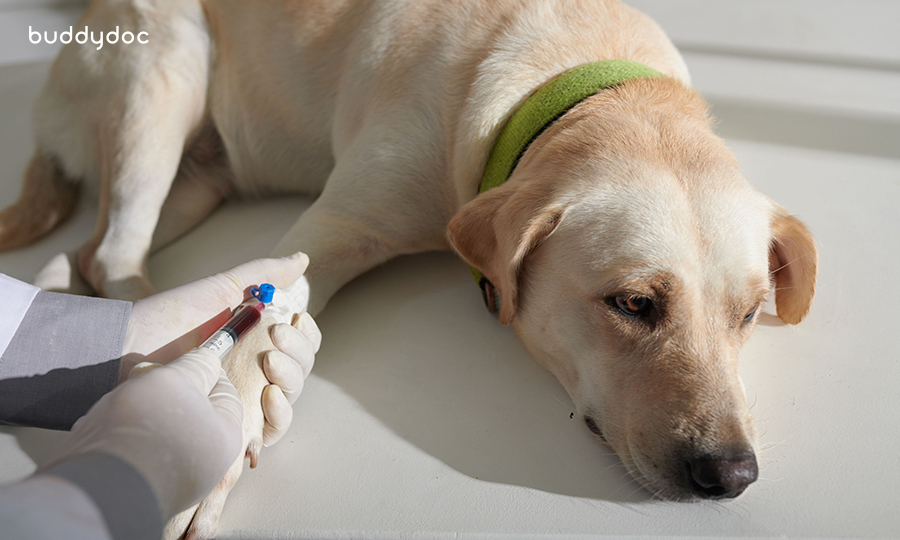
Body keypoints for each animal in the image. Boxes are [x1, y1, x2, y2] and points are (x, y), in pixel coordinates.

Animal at [0, 0, 816, 536]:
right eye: (634, 304)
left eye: (748, 314)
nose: (731, 475)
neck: (569, 77)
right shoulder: (330, 231)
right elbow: (255, 325)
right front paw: (197, 443)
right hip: (166, 71)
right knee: (113, 247)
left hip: (200, 178)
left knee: (85, 249)